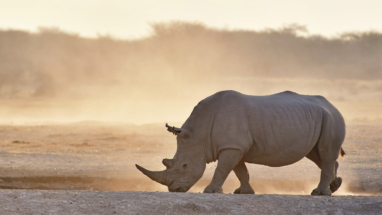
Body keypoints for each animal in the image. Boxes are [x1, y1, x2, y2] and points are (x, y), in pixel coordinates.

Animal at [137, 90, 346, 196]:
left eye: (184, 165)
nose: (174, 190)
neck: (199, 135)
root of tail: (333, 105)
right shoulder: (234, 146)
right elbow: (240, 171)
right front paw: (243, 192)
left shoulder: (232, 146)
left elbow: (222, 169)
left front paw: (210, 191)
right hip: (317, 118)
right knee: (318, 155)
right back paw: (334, 186)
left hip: (331, 118)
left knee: (325, 154)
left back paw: (319, 193)